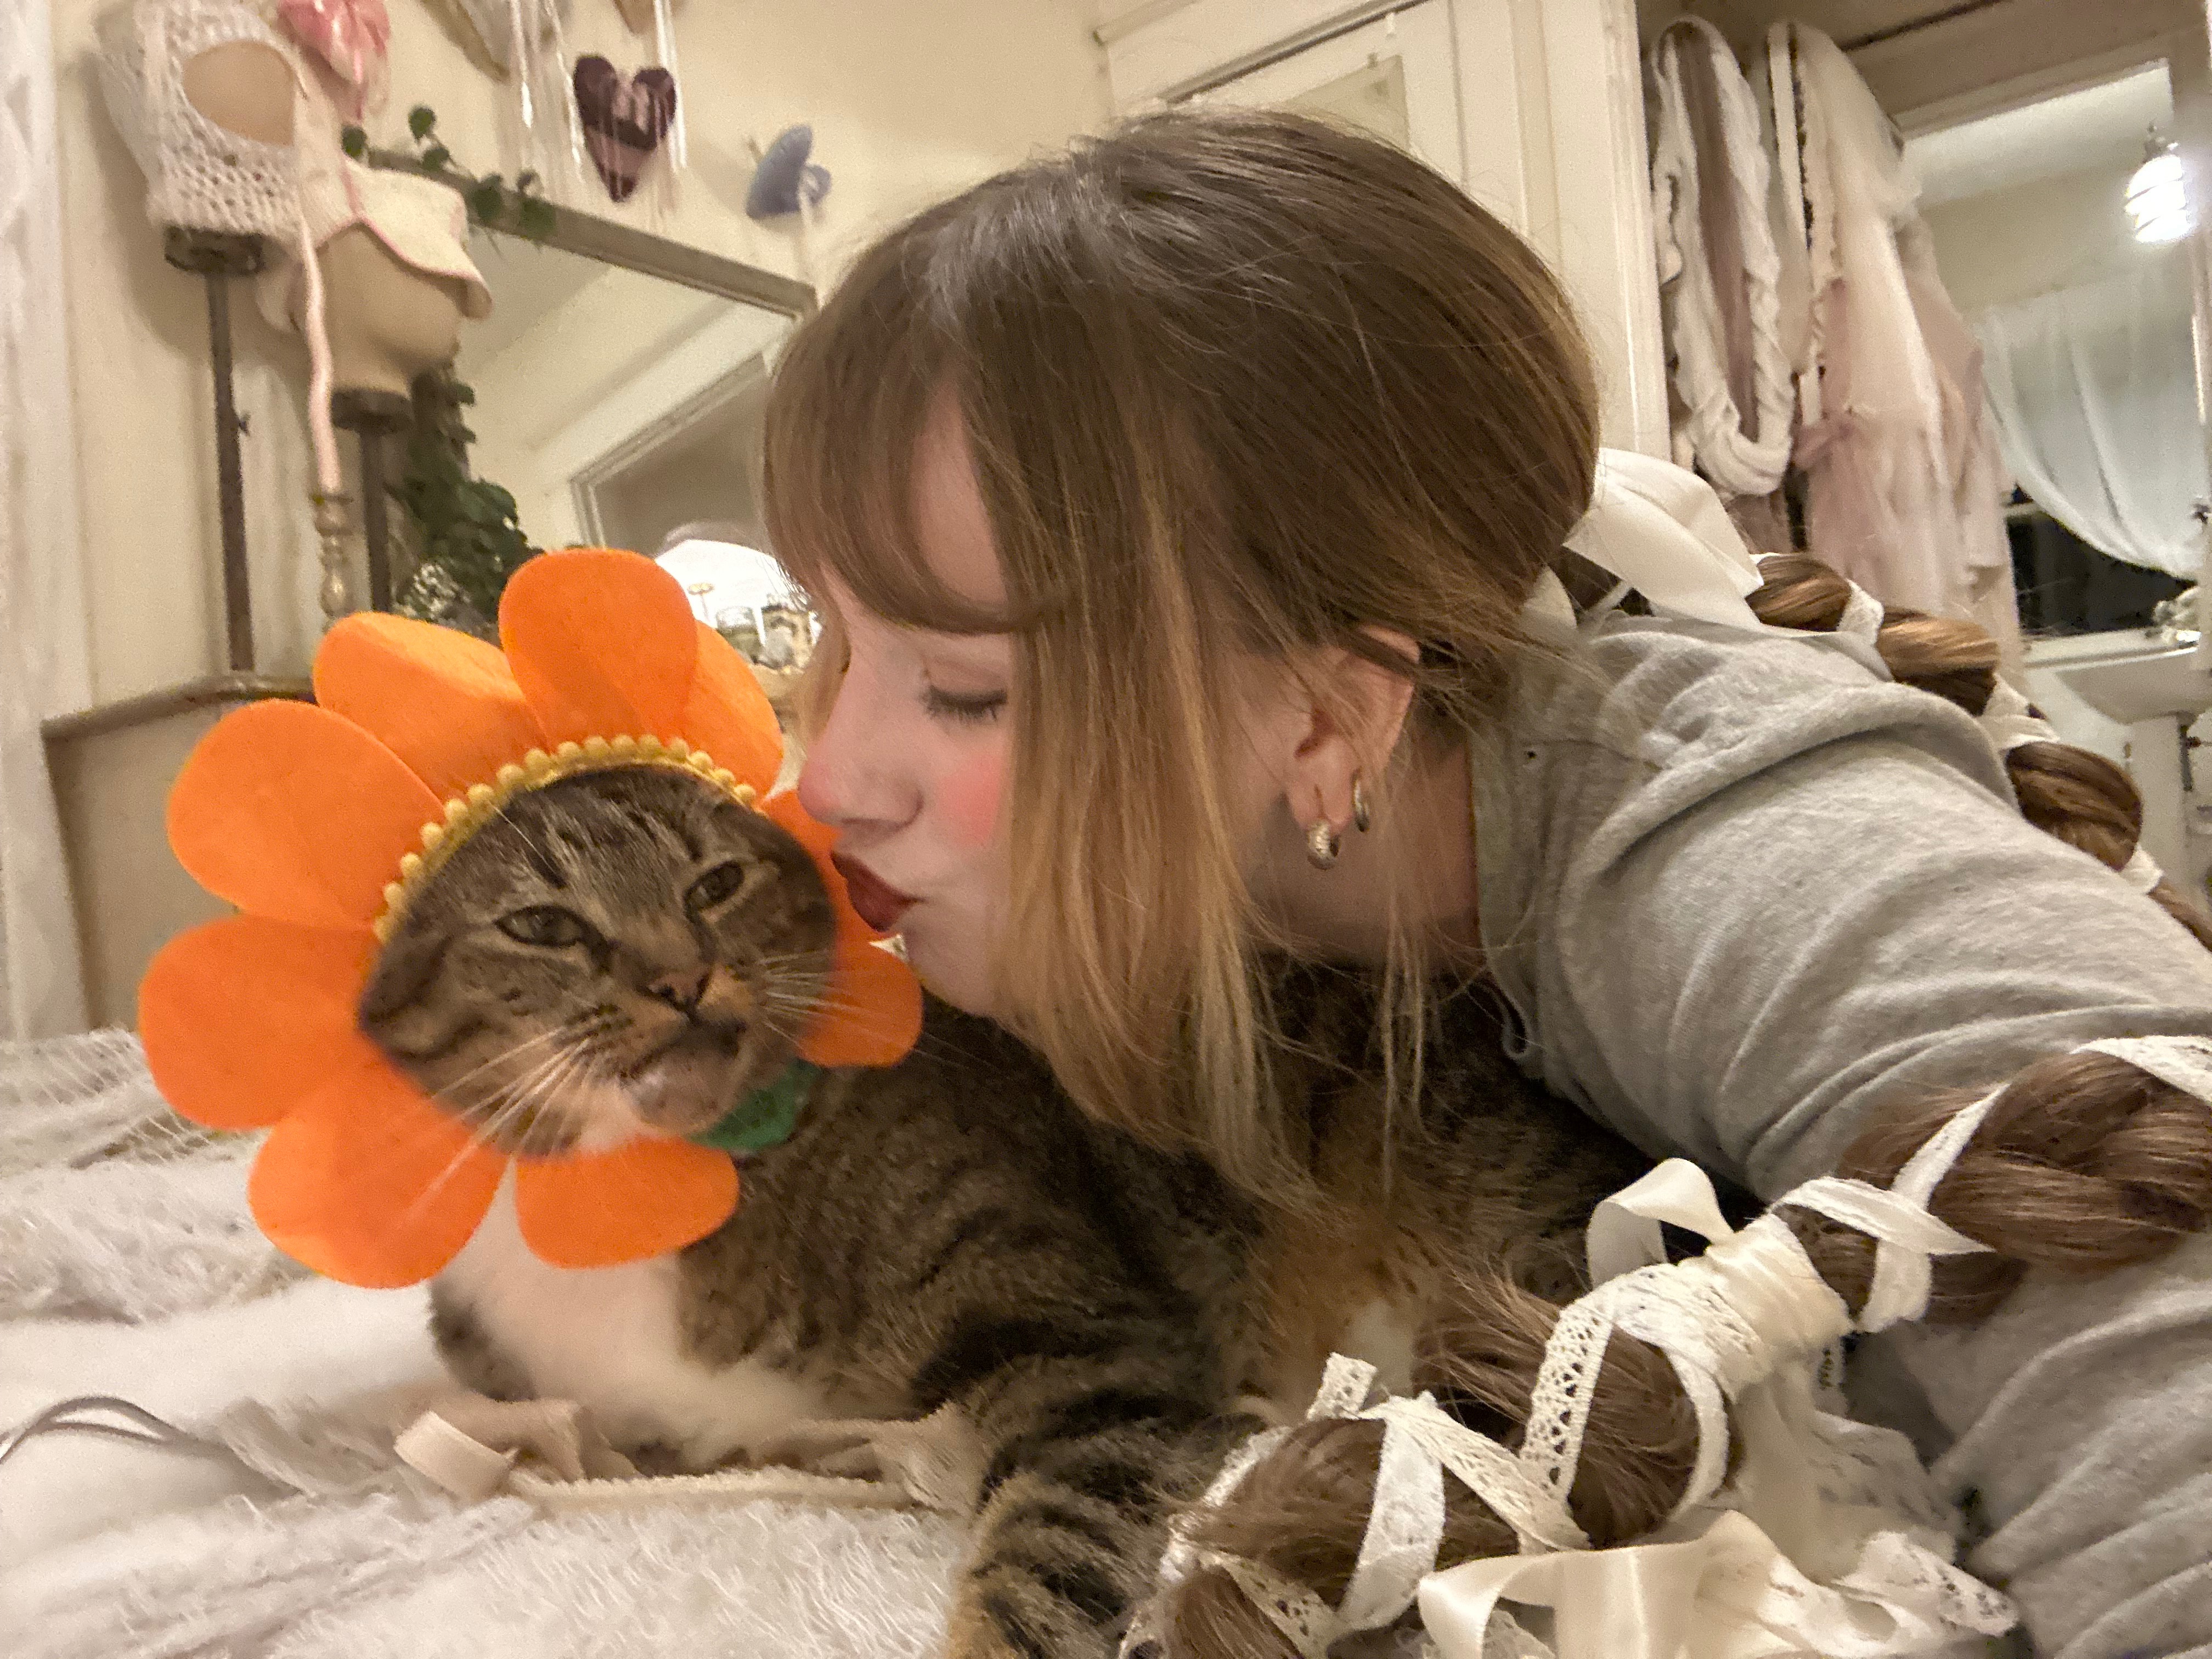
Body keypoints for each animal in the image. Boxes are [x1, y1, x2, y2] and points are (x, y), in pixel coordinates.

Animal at [357, 764, 1651, 1659]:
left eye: (713, 884)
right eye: (543, 925)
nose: (679, 977)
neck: (637, 1188)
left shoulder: (1087, 1351)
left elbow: (1050, 1544)